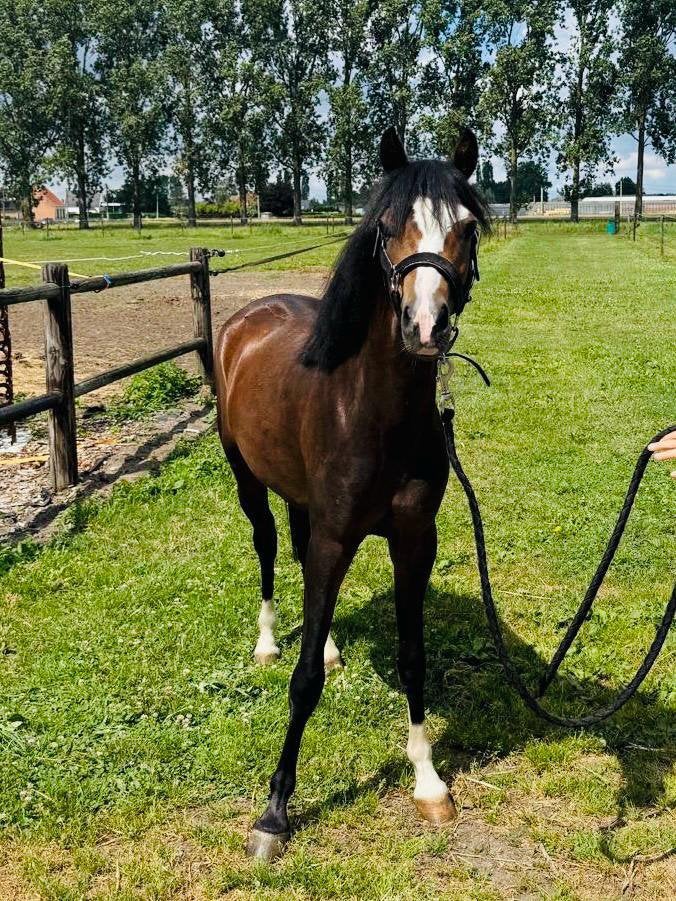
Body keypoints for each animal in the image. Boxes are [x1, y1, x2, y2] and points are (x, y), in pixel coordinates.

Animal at [214, 126, 491, 861]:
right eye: (387, 228)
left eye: (468, 228)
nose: (426, 328)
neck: (372, 413)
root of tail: (245, 318)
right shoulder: (340, 535)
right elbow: (303, 680)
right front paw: (275, 812)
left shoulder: (414, 542)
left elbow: (413, 658)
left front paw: (427, 779)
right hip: (247, 478)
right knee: (269, 548)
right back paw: (268, 641)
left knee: (301, 556)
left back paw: (333, 644)